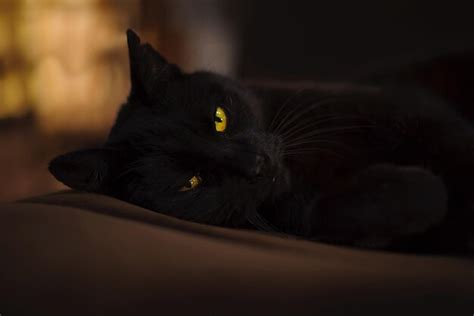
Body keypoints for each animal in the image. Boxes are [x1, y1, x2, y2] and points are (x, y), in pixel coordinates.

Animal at [50, 30, 472, 253]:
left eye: (219, 118)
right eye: (190, 182)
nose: (255, 163)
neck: (308, 174)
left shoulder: (419, 118)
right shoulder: (301, 216)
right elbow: (329, 211)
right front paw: (415, 191)